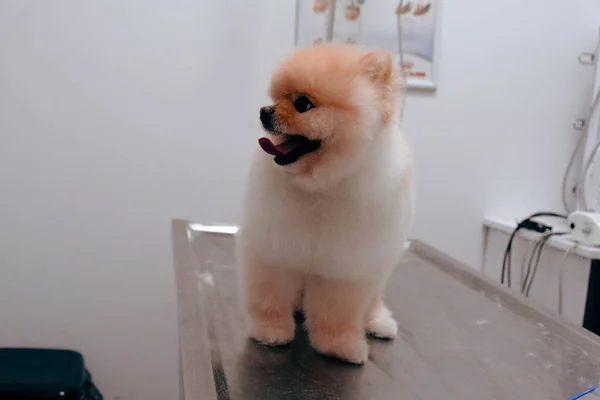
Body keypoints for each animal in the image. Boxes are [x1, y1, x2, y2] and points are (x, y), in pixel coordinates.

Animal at [237, 42, 414, 364]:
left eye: (303, 104)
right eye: (276, 98)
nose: (264, 111)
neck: (321, 186)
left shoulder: (345, 267)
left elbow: (337, 312)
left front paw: (339, 345)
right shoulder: (274, 248)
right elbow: (270, 295)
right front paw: (270, 330)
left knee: (373, 300)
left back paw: (378, 322)